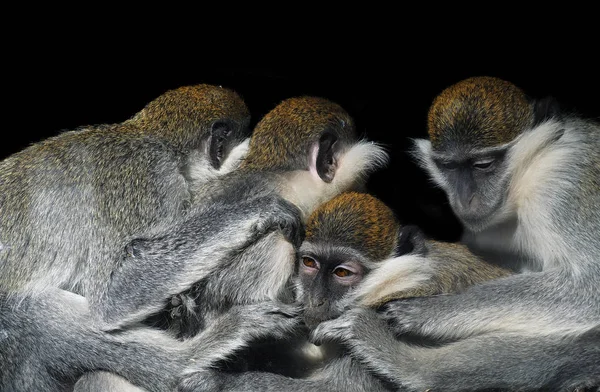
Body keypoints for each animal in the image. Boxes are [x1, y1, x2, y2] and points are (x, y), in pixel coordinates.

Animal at [312, 76, 600, 388]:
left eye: (483, 165)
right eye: (449, 166)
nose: (464, 198)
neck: (525, 178)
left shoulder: (565, 183)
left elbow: (589, 287)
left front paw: (424, 312)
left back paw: (405, 362)